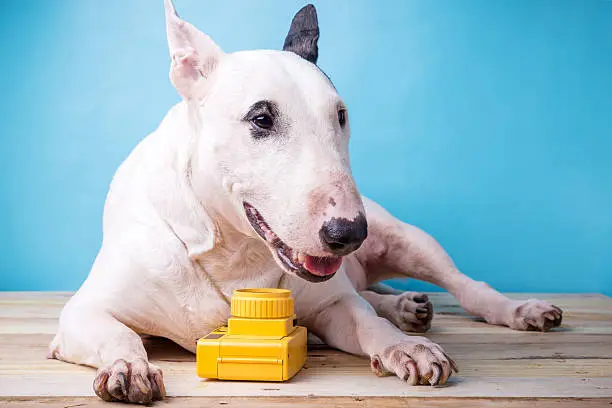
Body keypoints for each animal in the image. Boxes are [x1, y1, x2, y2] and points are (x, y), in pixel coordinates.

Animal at [50, 2, 560, 404]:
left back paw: (512, 311)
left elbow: (365, 321)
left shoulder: (331, 306)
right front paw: (128, 366)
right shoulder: (83, 312)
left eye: (342, 115)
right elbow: (117, 331)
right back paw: (404, 306)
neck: (231, 251)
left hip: (409, 240)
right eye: (261, 118)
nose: (349, 234)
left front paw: (405, 347)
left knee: (463, 286)